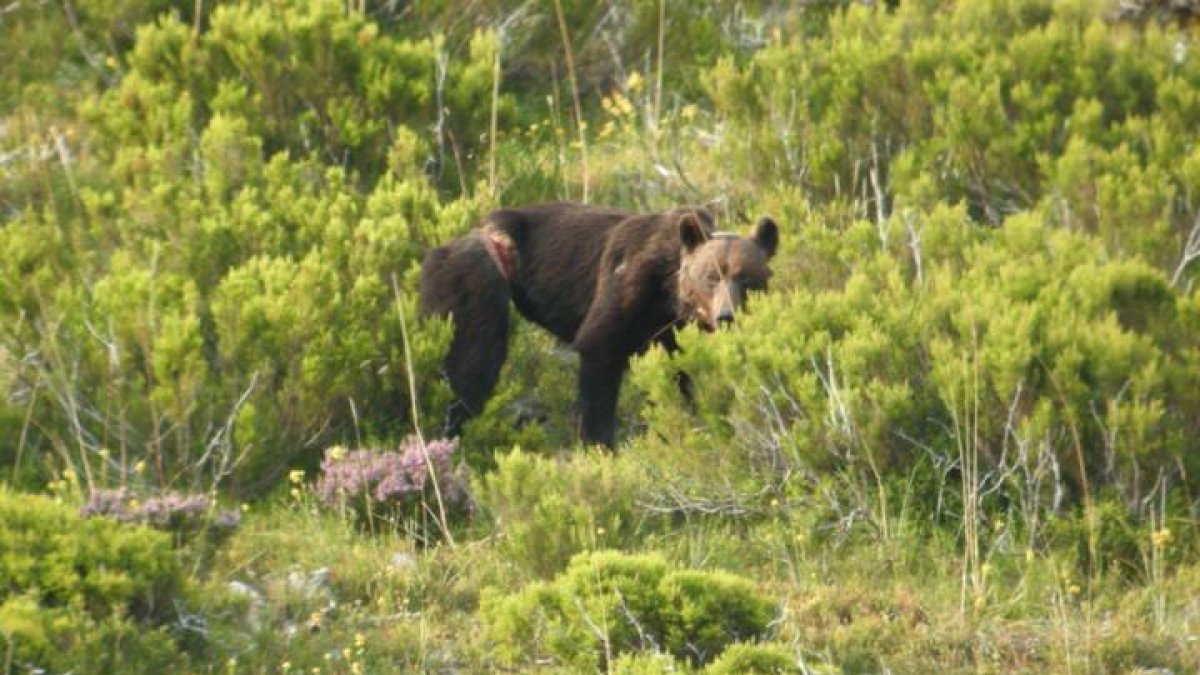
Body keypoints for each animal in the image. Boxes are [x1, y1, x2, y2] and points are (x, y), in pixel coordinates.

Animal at [418, 201, 779, 447]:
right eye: (711, 276)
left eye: (748, 278)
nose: (726, 316)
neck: (670, 295)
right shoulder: (629, 283)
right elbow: (599, 352)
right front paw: (599, 444)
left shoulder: (672, 331)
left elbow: (680, 376)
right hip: (477, 277)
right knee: (473, 363)